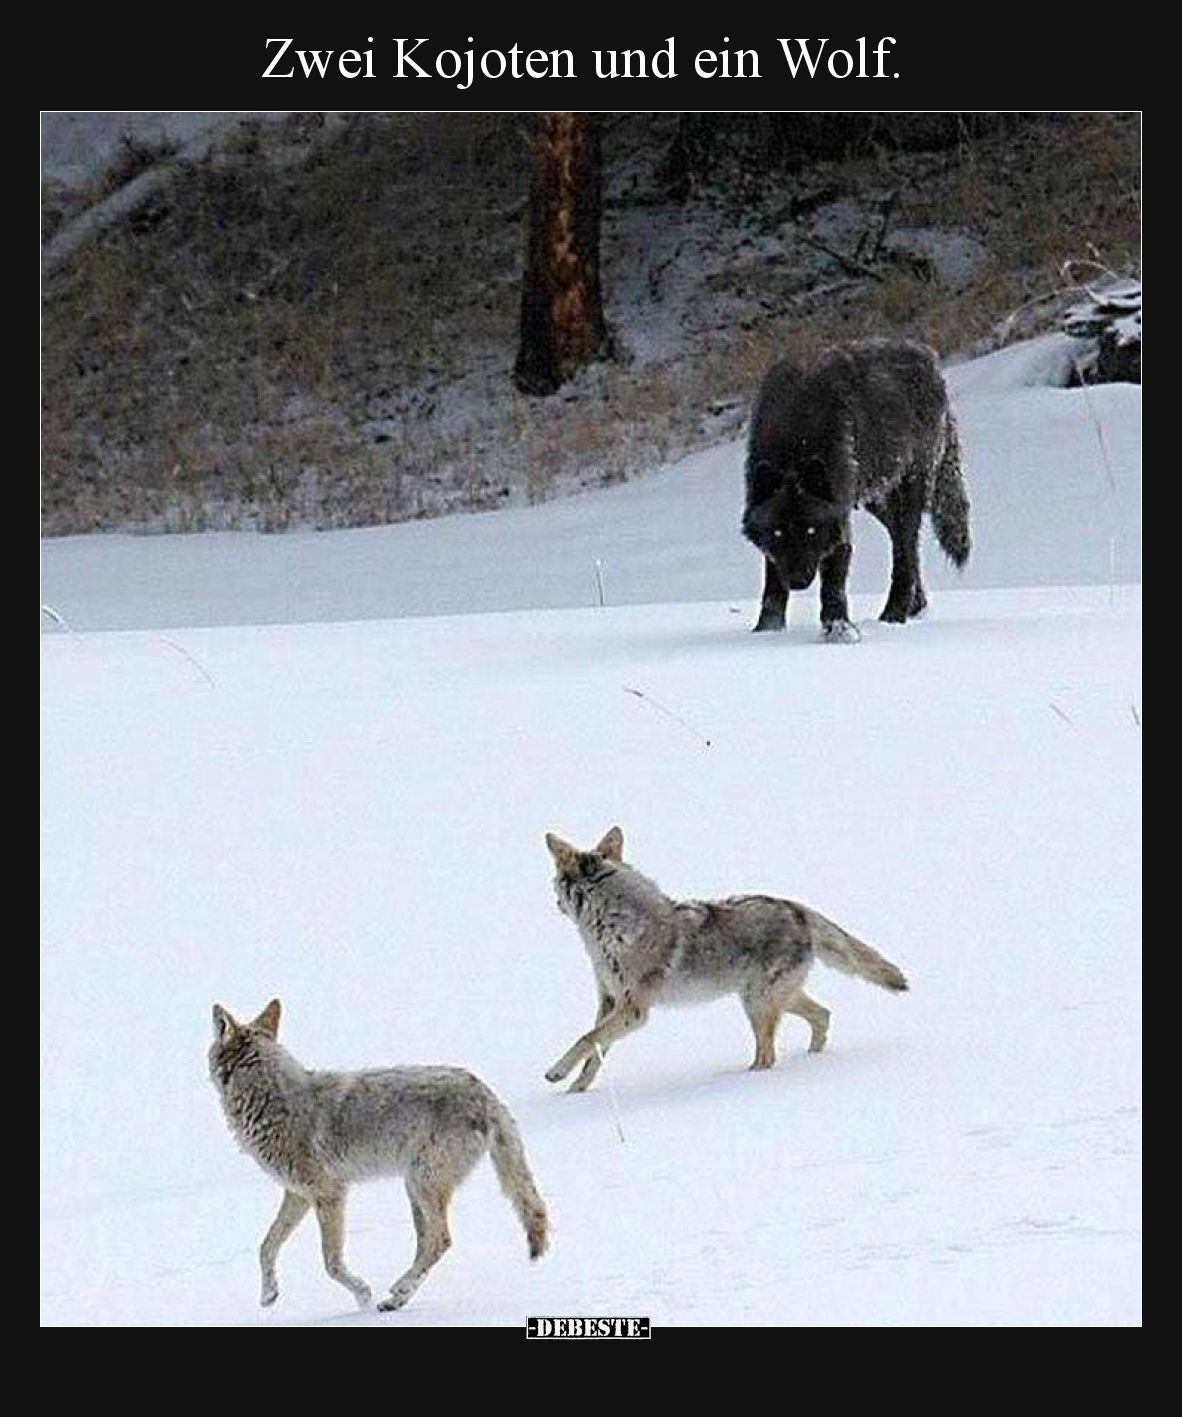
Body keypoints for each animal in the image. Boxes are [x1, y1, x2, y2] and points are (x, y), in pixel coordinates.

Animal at [209, 999, 548, 1313]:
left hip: (422, 1185)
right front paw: (269, 1294)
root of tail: (487, 1095)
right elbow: (266, 1246)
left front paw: (362, 1296)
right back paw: (397, 1299)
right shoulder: (299, 1195)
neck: (268, 1099)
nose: (214, 1009)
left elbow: (331, 1263)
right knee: (427, 1243)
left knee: (441, 1240)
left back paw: (399, 1288)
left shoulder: (330, 1195)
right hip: (413, 1190)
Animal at [544, 827, 907, 1090]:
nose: (554, 903)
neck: (611, 927)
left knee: (769, 1055)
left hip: (757, 1005)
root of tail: (797, 909)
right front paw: (576, 1091)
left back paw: (745, 1079)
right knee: (822, 1014)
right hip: (769, 999)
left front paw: (556, 1073)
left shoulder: (633, 1010)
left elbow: (586, 1039)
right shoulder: (609, 1001)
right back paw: (812, 1060)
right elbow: (594, 1052)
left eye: (555, 884)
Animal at [741, 337, 970, 637]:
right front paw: (767, 630)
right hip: (877, 499)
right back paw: (915, 606)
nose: (799, 581)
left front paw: (838, 629)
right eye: (778, 532)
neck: (795, 439)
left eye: (812, 530)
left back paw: (894, 615)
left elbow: (833, 582)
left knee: (905, 551)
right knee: (903, 543)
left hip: (908, 490)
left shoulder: (838, 517)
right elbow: (772, 583)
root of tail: (930, 359)